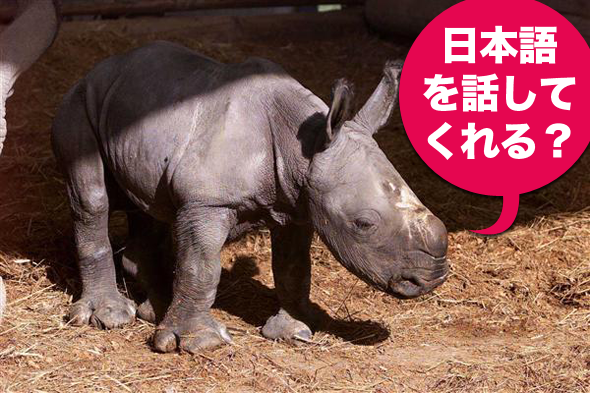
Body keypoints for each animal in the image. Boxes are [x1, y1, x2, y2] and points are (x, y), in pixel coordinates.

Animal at [52, 41, 448, 354]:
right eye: (363, 224)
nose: (431, 279)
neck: (301, 147)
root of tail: (100, 68)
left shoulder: (296, 204)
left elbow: (293, 268)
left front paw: (295, 332)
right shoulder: (207, 201)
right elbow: (202, 266)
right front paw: (197, 343)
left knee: (150, 207)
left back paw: (155, 309)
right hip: (79, 100)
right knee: (92, 198)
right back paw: (111, 317)